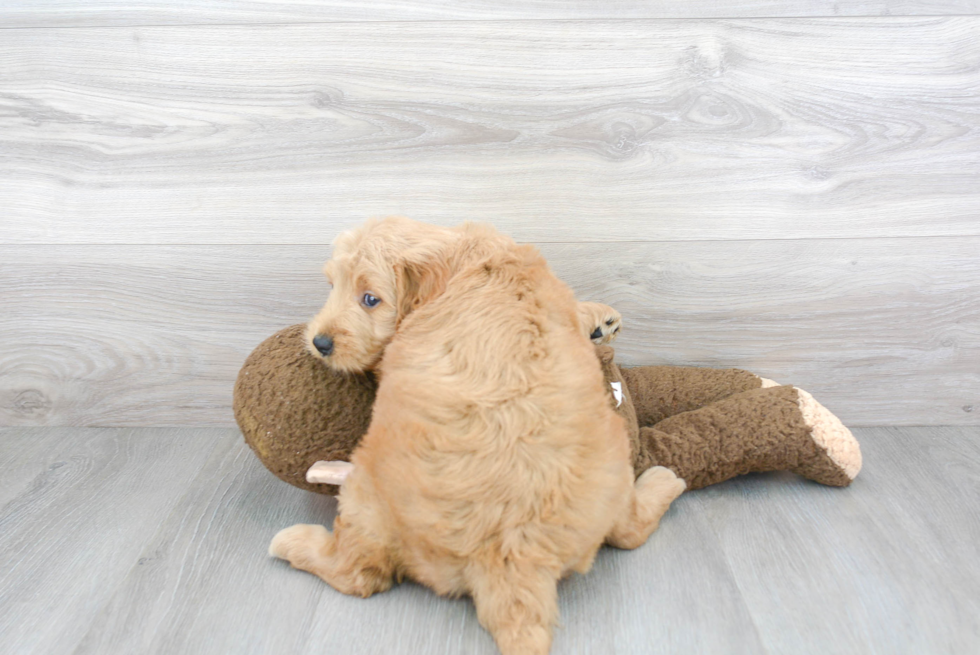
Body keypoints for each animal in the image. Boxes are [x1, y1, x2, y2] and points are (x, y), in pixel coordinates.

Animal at [268, 217, 680, 655]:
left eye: (370, 299)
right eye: (332, 286)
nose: (320, 342)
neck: (460, 258)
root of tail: (513, 557)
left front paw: (600, 317)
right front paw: (599, 316)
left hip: (366, 495)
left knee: (359, 573)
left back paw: (293, 542)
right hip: (612, 464)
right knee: (627, 530)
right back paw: (664, 482)